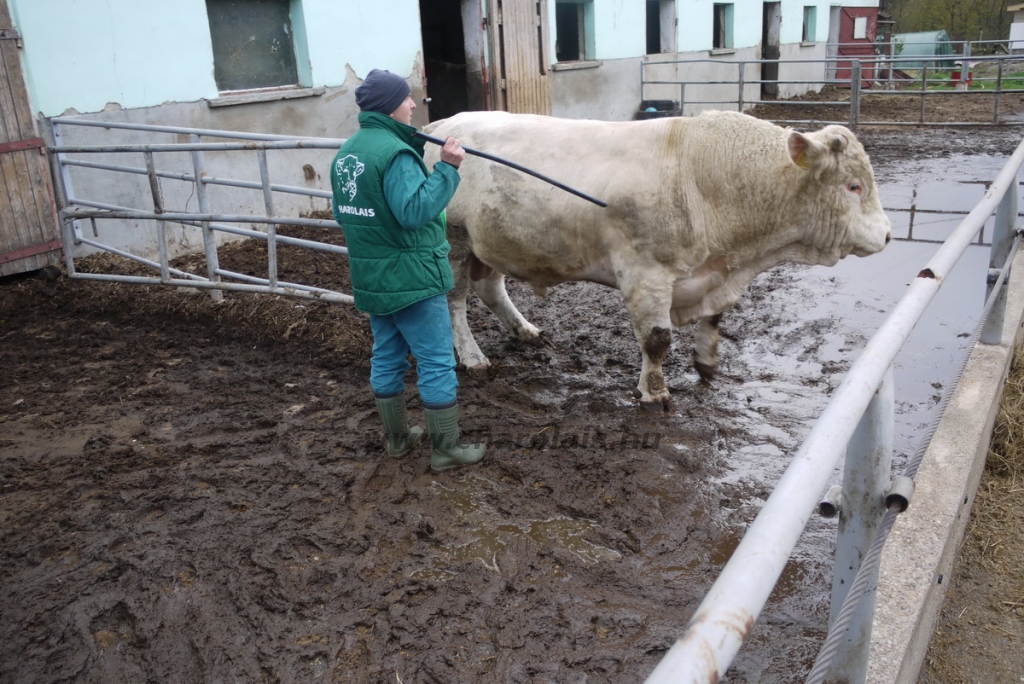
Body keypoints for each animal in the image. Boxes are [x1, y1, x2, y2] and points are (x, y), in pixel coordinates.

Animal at [421, 110, 888, 409]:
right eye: (853, 186)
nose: (886, 233)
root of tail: (440, 125)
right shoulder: (645, 273)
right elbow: (657, 339)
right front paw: (655, 393)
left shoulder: (710, 274)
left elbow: (714, 318)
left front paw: (706, 362)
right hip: (452, 242)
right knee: (454, 302)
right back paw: (472, 357)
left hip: (492, 239)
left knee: (490, 286)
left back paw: (526, 331)